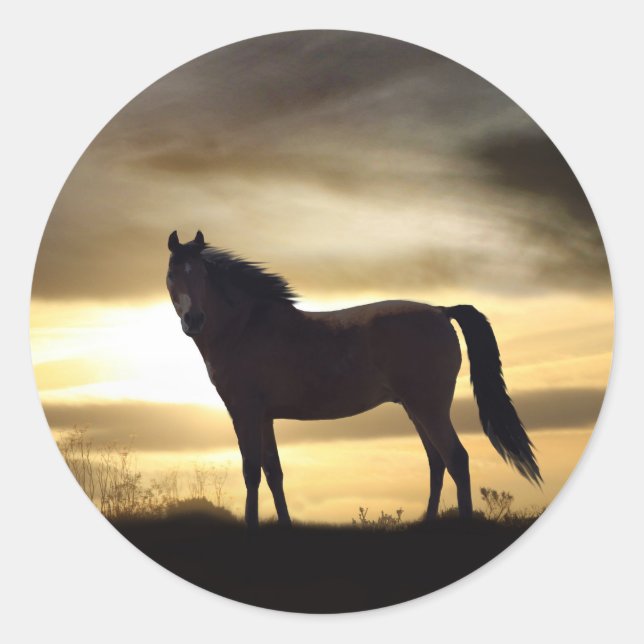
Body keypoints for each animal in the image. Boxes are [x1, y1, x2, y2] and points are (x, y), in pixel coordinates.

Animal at [166, 230, 541, 529]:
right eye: (172, 274)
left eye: (202, 274)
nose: (194, 319)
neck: (246, 327)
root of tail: (440, 311)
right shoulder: (264, 417)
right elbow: (274, 472)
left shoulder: (244, 413)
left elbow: (251, 471)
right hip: (415, 409)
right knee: (436, 463)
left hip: (430, 408)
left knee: (456, 460)